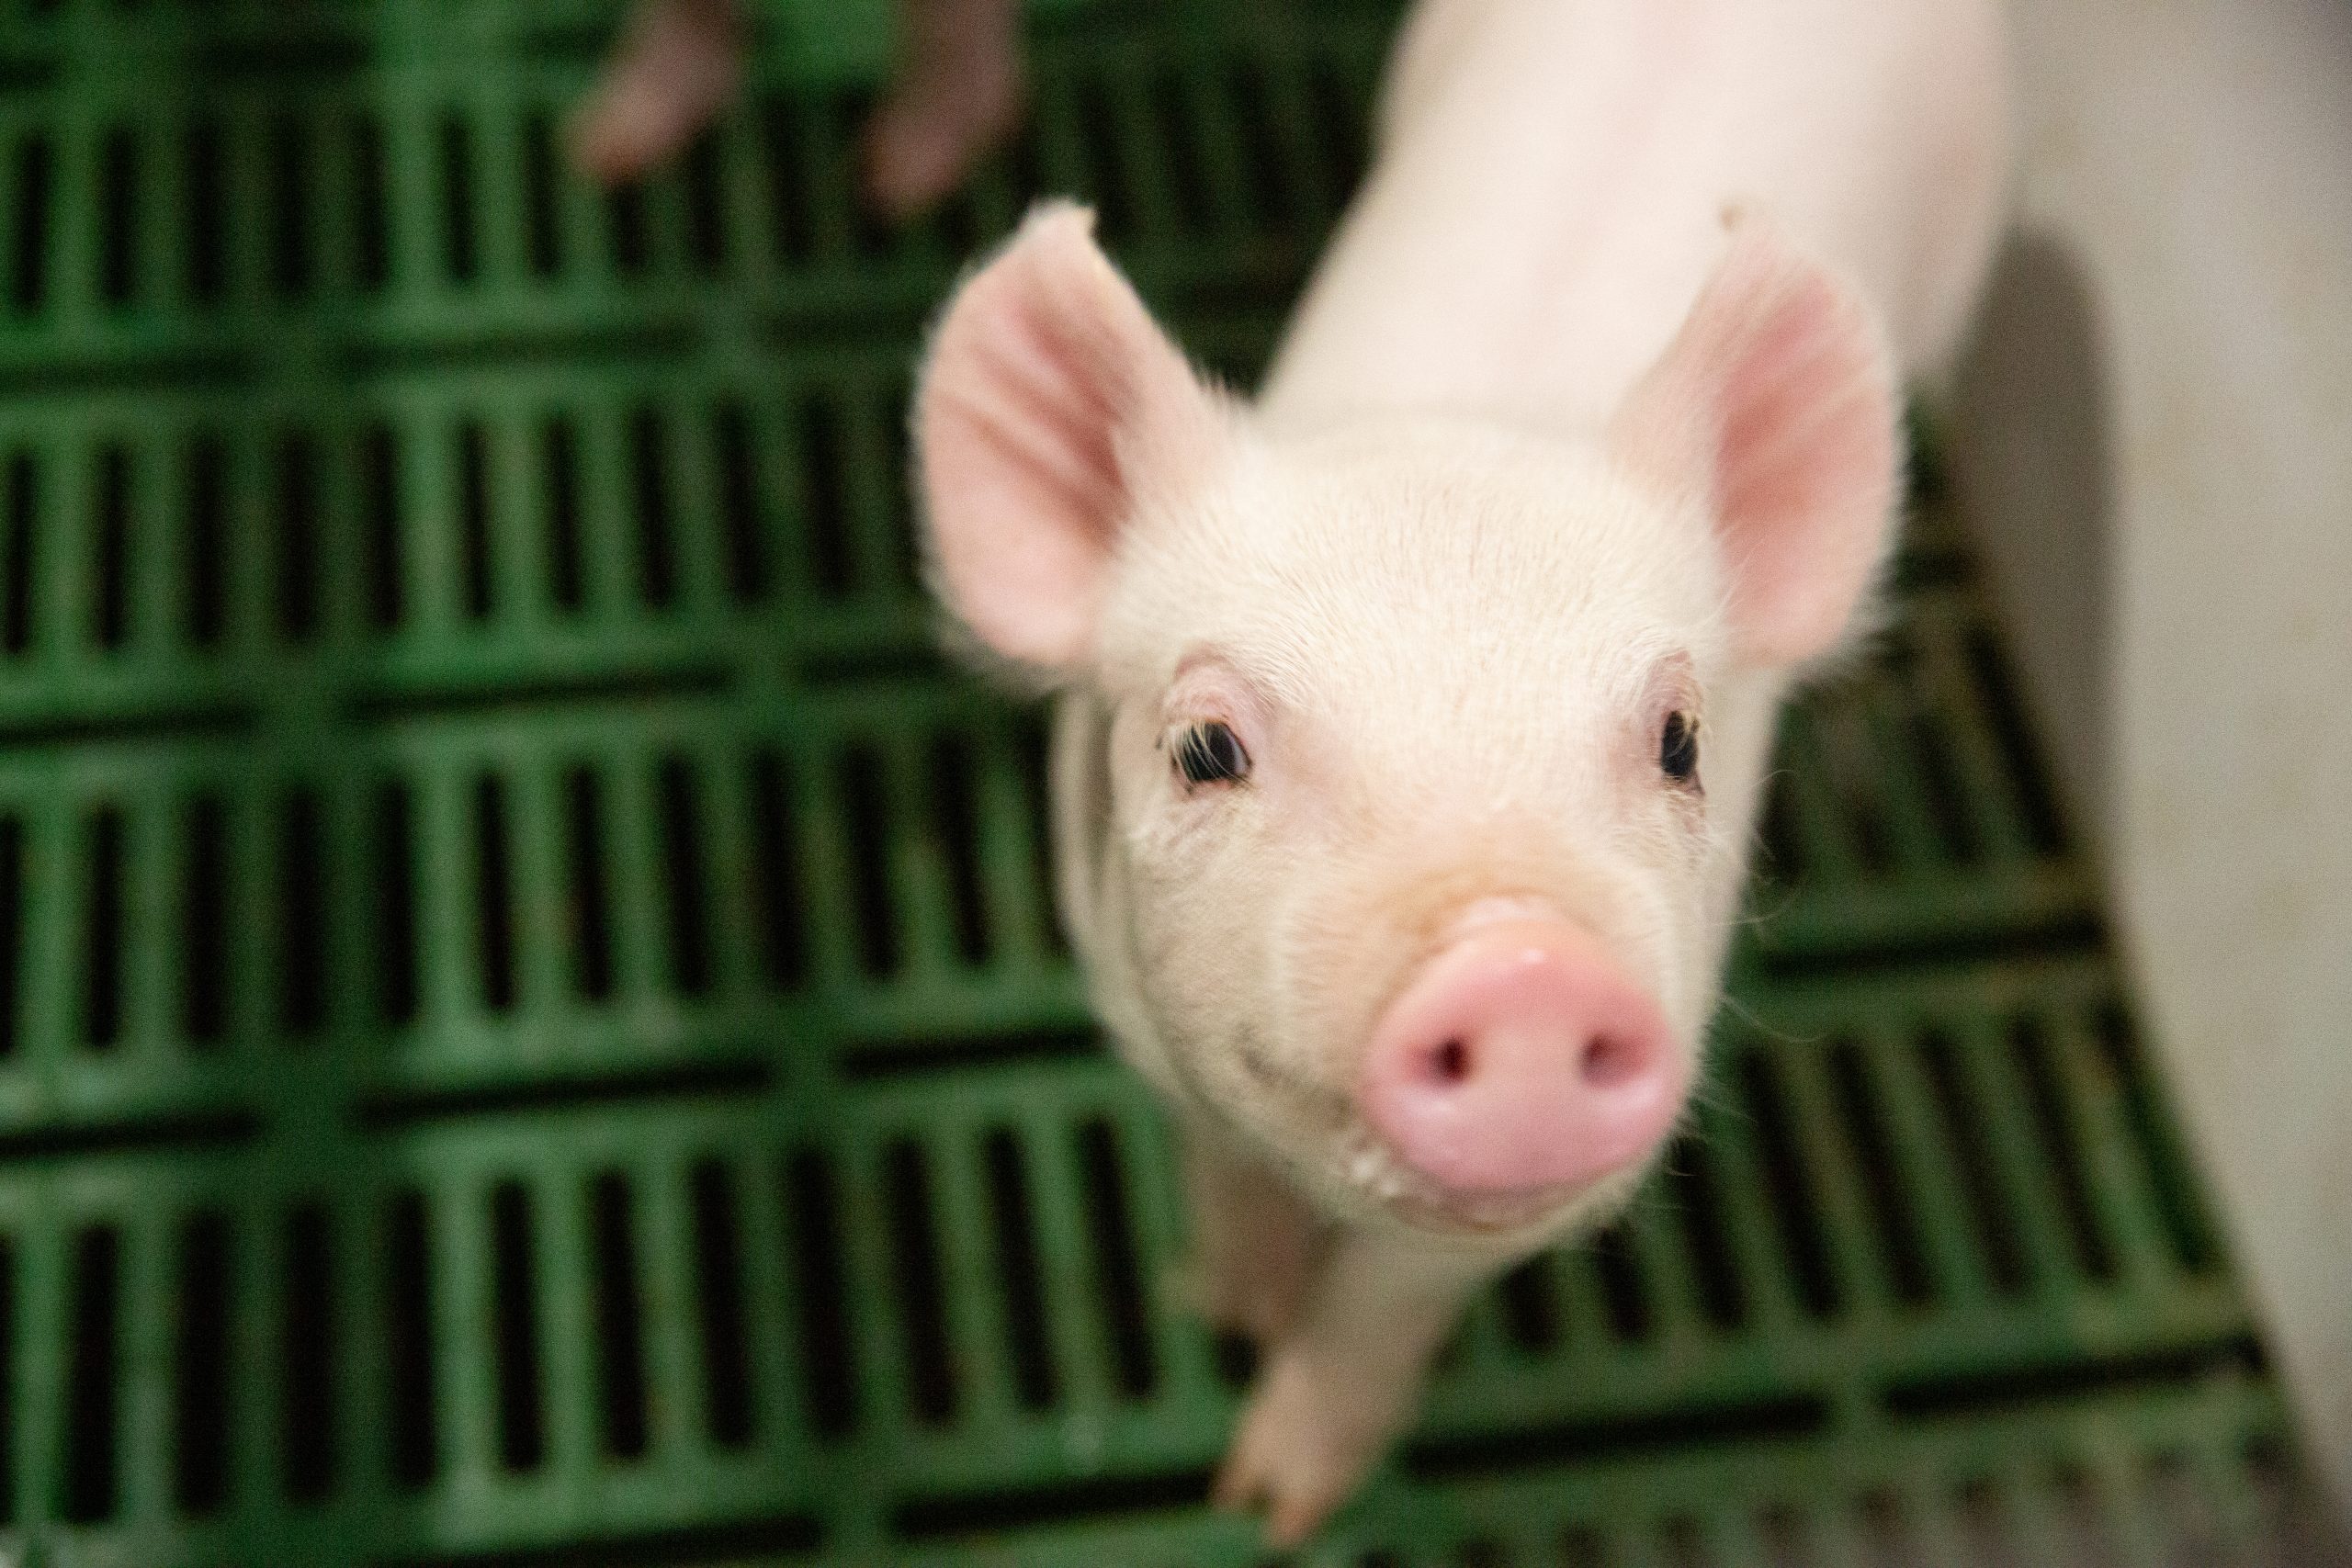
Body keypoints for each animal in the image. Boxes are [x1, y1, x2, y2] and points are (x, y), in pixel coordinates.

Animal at [912, 0, 2010, 1546]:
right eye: (1204, 747)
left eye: (1680, 740)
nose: (1523, 962)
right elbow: (1223, 1167)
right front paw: (1227, 1316)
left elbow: (1390, 1300)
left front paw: (1275, 1503)